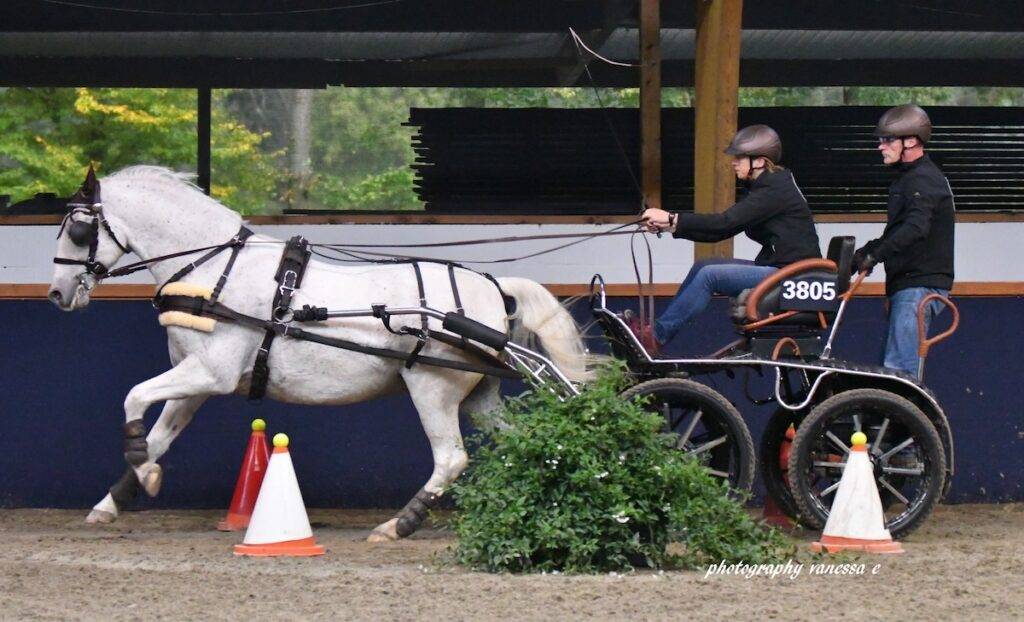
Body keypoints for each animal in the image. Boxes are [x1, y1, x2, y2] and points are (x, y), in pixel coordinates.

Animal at [48, 166, 591, 541]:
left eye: (77, 229)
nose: (57, 293)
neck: (213, 267)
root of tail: (494, 288)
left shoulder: (211, 371)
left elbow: (134, 398)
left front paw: (140, 468)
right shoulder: (194, 378)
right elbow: (161, 435)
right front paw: (119, 495)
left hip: (431, 386)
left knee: (450, 458)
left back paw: (398, 525)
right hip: (479, 395)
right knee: (526, 441)